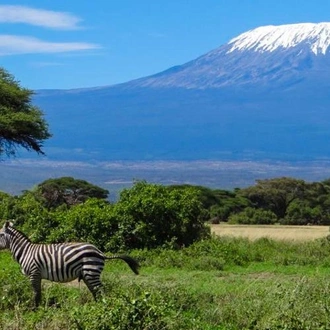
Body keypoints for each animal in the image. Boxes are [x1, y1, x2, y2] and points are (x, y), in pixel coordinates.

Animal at [0, 220, 139, 308]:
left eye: (0, 234)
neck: (26, 251)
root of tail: (100, 252)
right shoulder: (36, 275)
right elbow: (38, 293)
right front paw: (37, 308)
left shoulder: (34, 273)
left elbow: (36, 293)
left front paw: (34, 309)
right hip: (88, 274)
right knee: (95, 291)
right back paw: (96, 307)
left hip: (91, 271)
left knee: (101, 290)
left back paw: (103, 307)